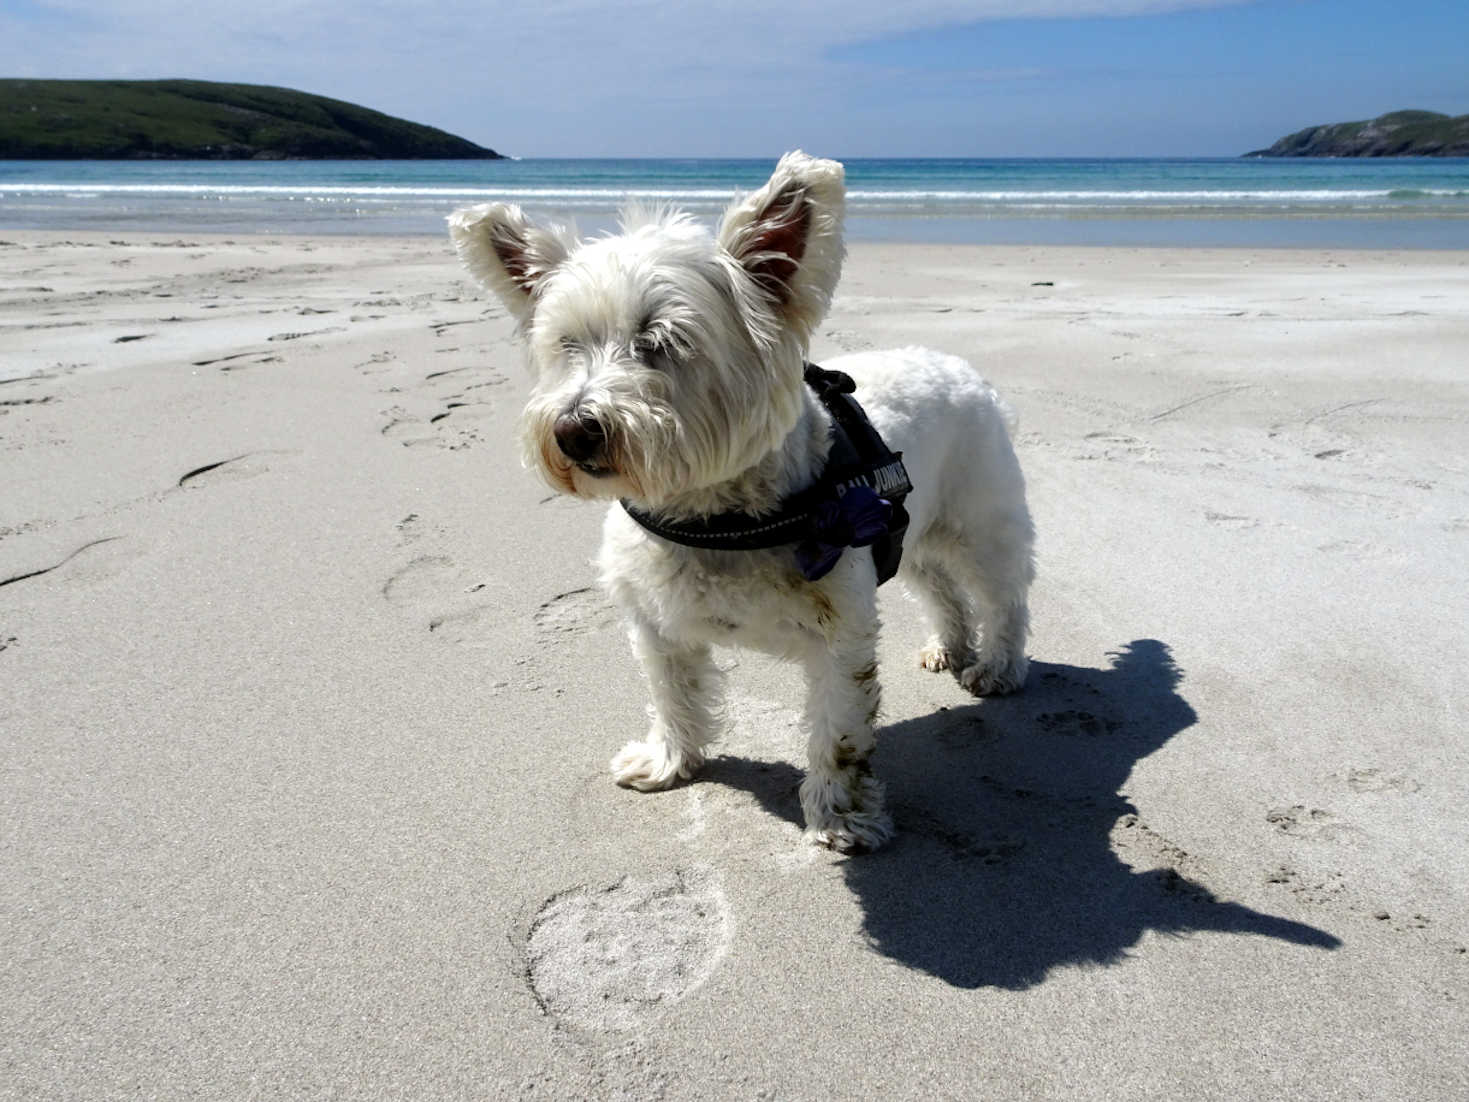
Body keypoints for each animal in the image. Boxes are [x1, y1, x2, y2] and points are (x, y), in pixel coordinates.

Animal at [446, 153, 1034, 852]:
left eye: (661, 341)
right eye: (567, 345)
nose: (572, 430)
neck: (712, 518)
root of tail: (954, 364)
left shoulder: (842, 632)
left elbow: (838, 732)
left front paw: (841, 817)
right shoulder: (655, 626)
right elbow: (673, 697)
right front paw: (669, 761)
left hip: (979, 523)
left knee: (1002, 597)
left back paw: (996, 666)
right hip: (906, 528)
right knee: (940, 588)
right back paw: (949, 645)